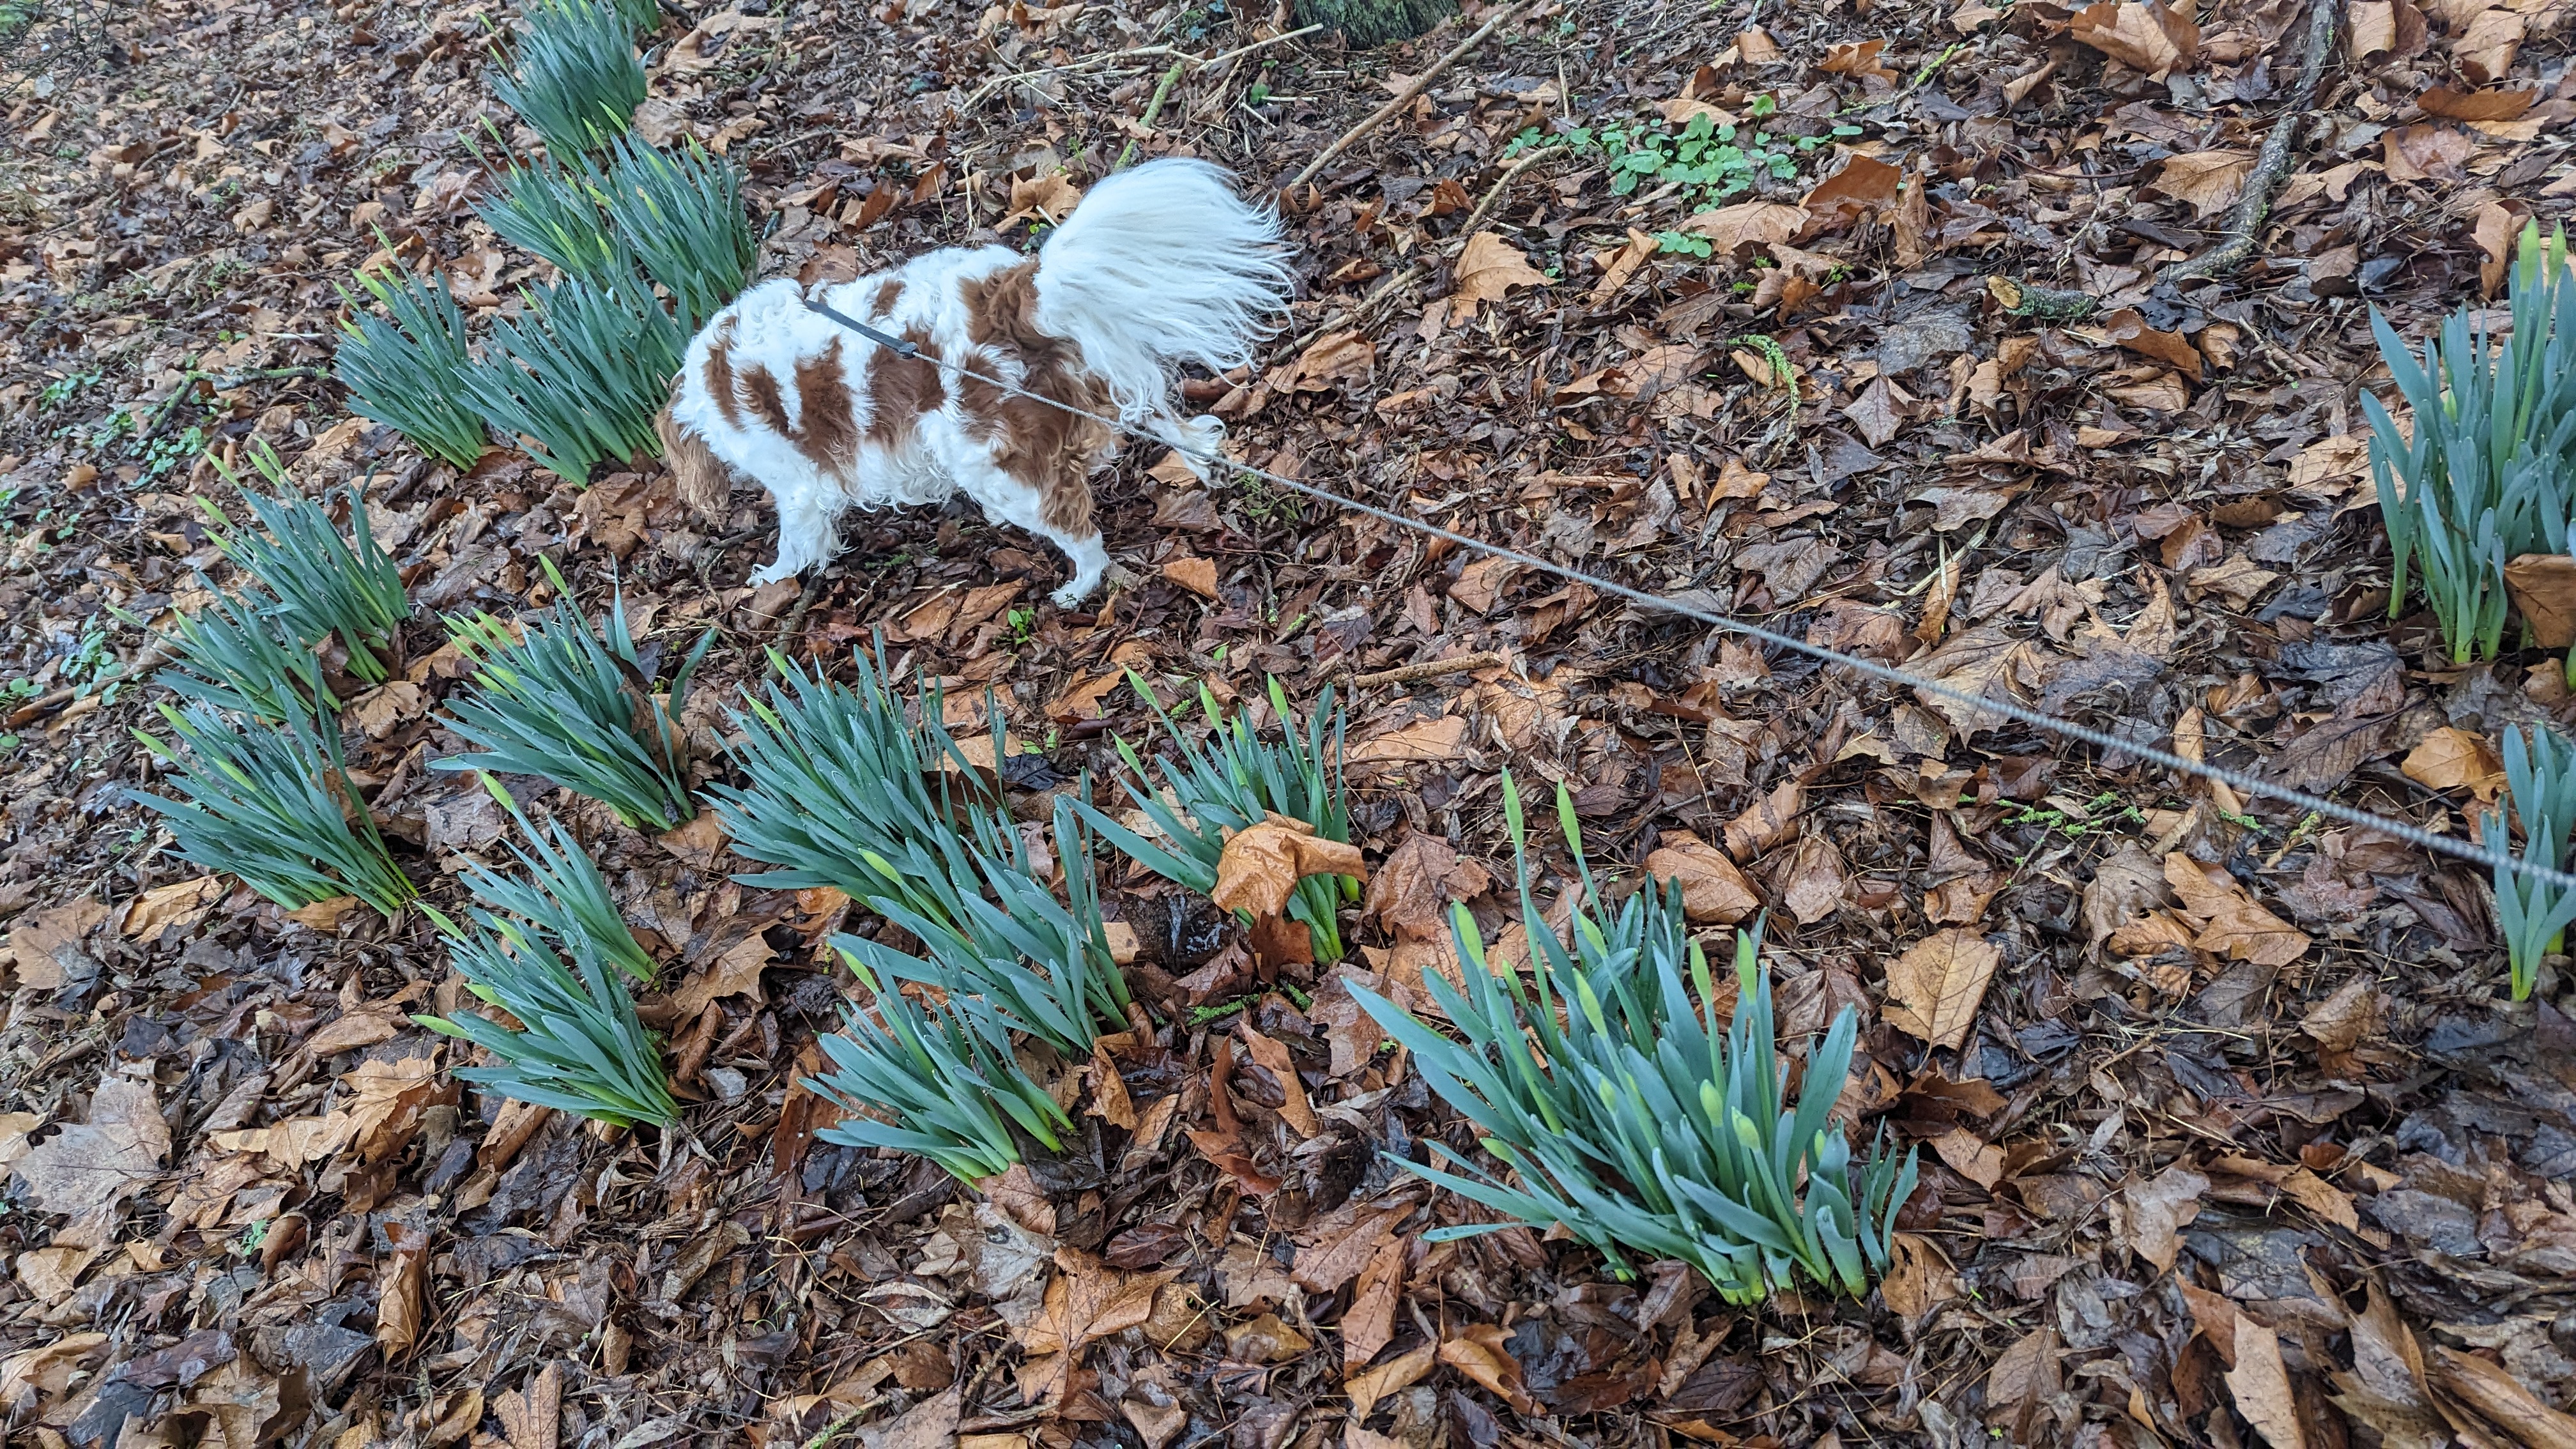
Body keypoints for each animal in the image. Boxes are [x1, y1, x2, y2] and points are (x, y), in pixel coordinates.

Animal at [644, 159, 1288, 603]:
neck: (703, 387)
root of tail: (1016, 294)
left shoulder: (797, 487)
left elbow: (795, 540)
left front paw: (773, 576)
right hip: (1097, 377)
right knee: (1177, 424)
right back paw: (1205, 463)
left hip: (996, 468)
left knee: (1082, 534)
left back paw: (1077, 589)